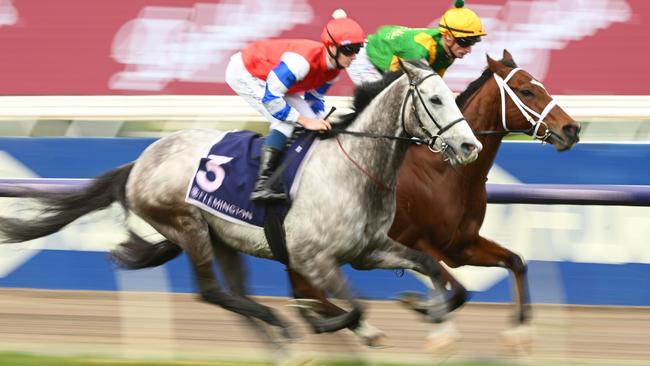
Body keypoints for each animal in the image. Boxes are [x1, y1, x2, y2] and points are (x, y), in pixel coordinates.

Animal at [0, 60, 480, 344]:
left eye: (453, 95)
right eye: (435, 98)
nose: (470, 146)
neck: (352, 169)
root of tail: (141, 161)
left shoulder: (369, 250)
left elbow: (433, 267)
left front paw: (427, 307)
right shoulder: (312, 258)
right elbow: (354, 305)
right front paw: (324, 320)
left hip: (222, 238)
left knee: (231, 292)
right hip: (188, 226)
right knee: (212, 292)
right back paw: (281, 323)